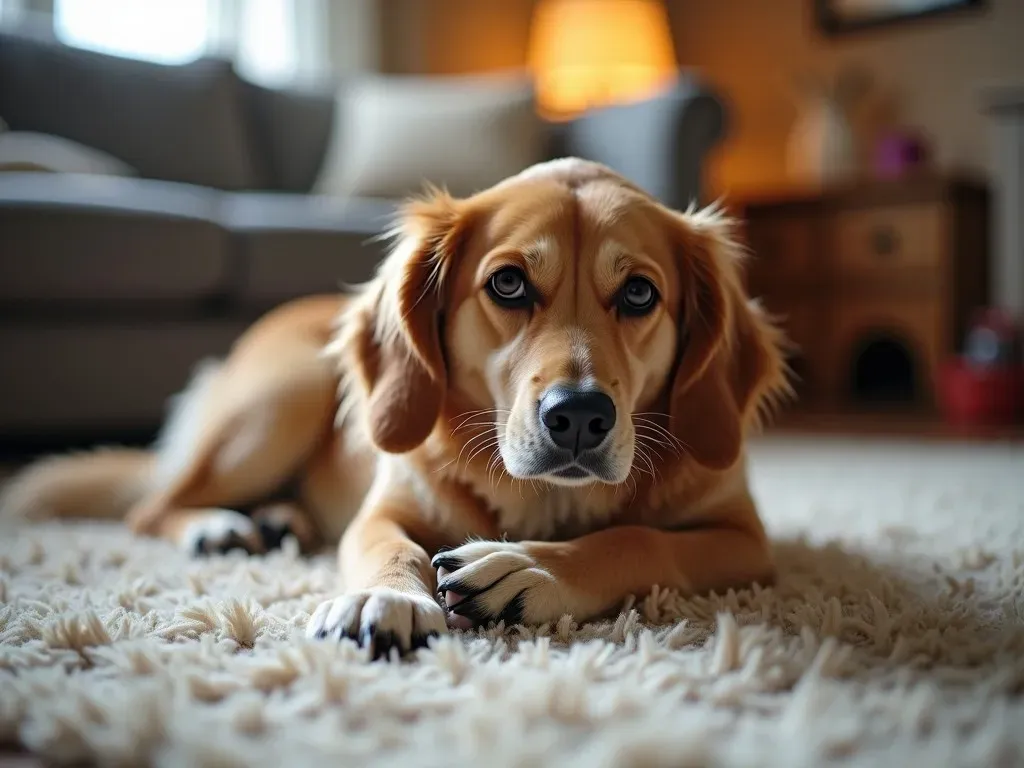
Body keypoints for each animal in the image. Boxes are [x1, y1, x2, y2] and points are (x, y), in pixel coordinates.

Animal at [0, 159, 790, 659]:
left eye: (639, 294)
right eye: (507, 284)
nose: (579, 416)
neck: (547, 503)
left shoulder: (744, 539)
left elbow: (640, 540)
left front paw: (531, 571)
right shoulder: (382, 510)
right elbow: (389, 546)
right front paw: (391, 599)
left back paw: (280, 521)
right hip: (284, 398)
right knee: (151, 507)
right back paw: (217, 526)